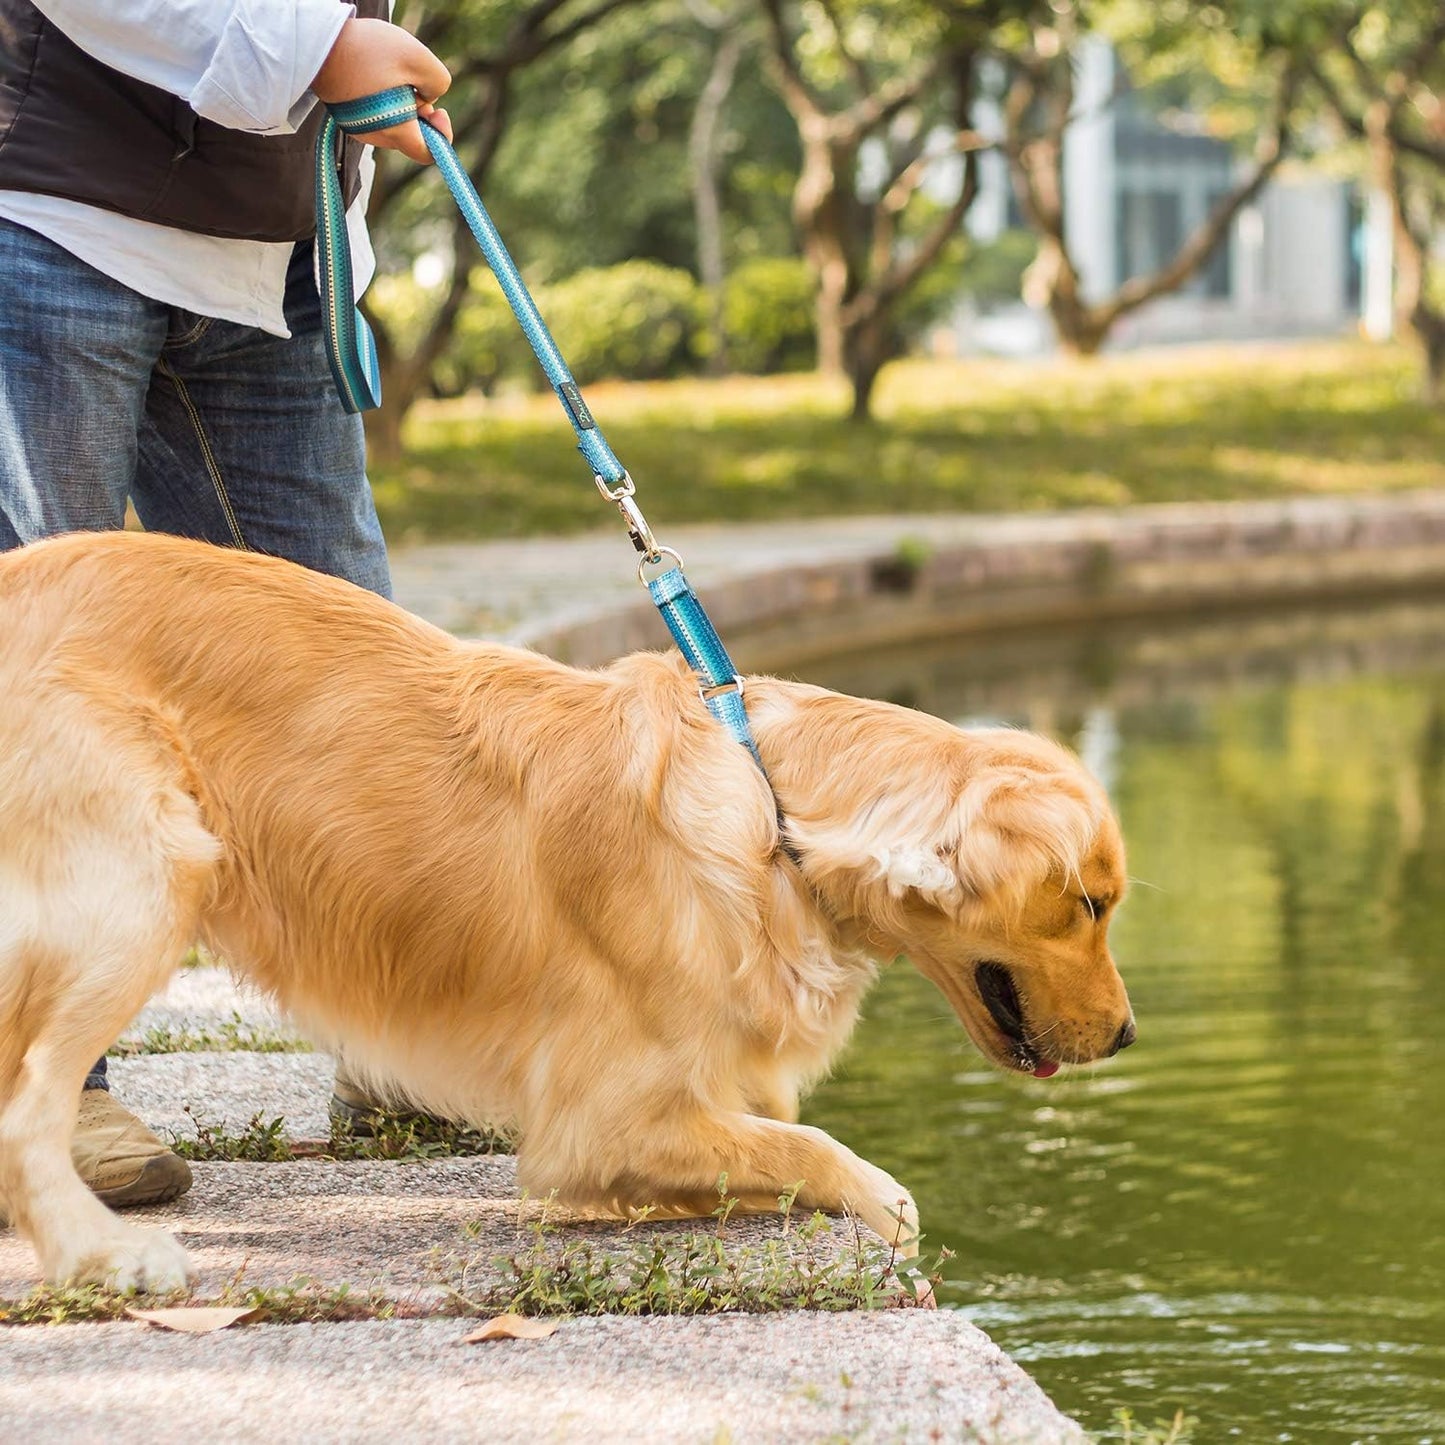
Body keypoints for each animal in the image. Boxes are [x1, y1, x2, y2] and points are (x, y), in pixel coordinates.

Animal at [0, 528, 1127, 1288]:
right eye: (1086, 902)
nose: (1122, 1037)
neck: (768, 807)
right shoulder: (597, 1124)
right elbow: (831, 1159)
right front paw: (888, 1208)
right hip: (150, 877)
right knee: (26, 1106)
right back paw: (102, 1252)